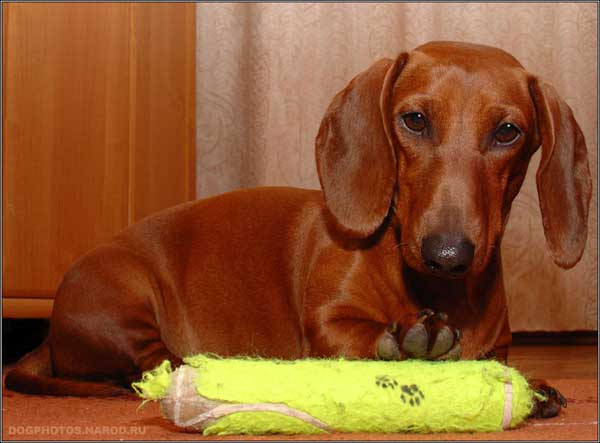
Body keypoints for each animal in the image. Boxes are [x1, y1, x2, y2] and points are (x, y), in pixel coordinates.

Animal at [5, 41, 584, 420]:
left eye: (507, 131)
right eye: (415, 120)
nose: (448, 254)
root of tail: (50, 332)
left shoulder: (498, 346)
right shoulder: (328, 324)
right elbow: (363, 336)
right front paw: (409, 342)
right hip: (123, 287)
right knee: (153, 363)